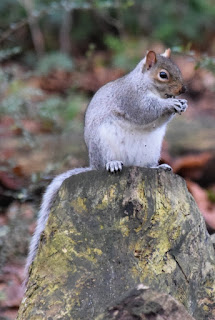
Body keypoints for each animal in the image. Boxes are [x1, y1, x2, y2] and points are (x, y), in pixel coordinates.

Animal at [26, 48, 188, 278]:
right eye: (163, 75)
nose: (184, 89)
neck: (145, 85)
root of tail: (93, 164)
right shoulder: (131, 99)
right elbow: (146, 112)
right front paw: (170, 104)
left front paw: (182, 104)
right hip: (103, 142)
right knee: (107, 161)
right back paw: (112, 164)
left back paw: (157, 166)